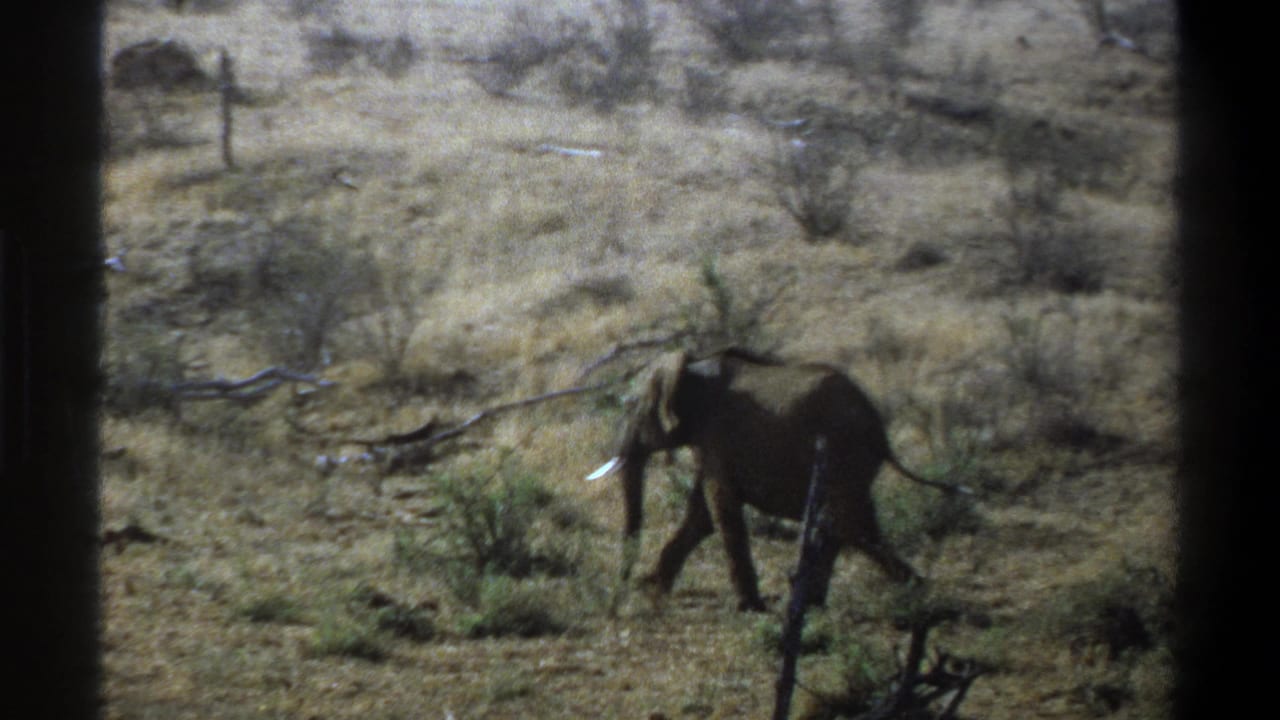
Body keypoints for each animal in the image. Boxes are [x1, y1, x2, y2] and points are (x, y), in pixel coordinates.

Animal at [587, 348, 967, 612]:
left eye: (631, 408)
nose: (620, 598)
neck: (692, 365)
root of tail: (878, 428)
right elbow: (702, 516)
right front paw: (655, 588)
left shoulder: (717, 436)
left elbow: (721, 509)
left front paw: (748, 608)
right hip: (852, 462)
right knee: (848, 523)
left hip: (842, 454)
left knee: (847, 524)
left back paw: (913, 594)